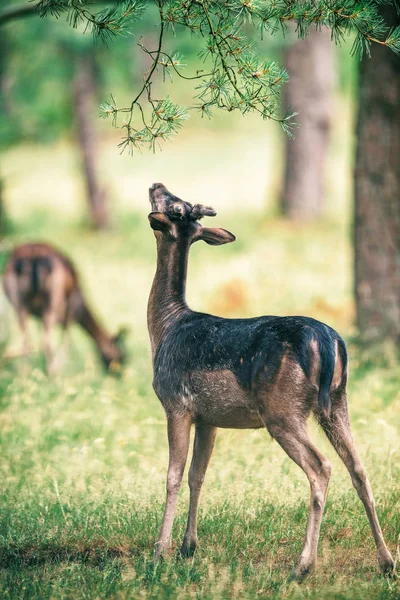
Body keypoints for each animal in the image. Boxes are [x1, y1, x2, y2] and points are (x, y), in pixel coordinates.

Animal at [1, 241, 126, 372]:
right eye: (122, 355)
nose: (119, 372)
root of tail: (32, 258)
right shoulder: (72, 309)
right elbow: (68, 339)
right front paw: (61, 367)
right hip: (53, 301)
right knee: (45, 340)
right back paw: (51, 372)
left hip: (19, 305)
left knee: (27, 341)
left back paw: (24, 372)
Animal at [146, 183, 394, 580]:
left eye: (174, 204)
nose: (156, 184)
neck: (164, 328)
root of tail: (328, 343)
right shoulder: (208, 418)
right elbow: (198, 475)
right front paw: (188, 547)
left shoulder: (176, 403)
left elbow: (173, 475)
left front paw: (160, 552)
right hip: (337, 401)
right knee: (358, 467)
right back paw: (385, 561)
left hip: (282, 409)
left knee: (321, 467)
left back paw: (304, 565)